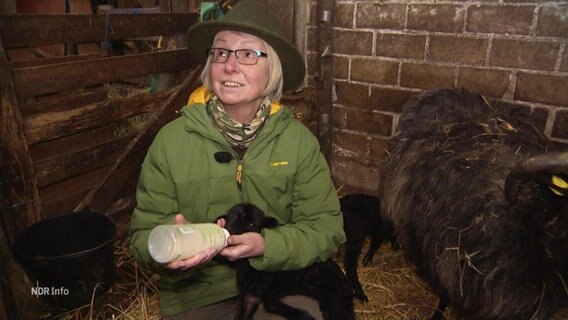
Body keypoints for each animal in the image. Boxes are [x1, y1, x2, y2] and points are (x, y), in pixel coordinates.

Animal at [217, 205, 356, 320]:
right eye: (231, 217)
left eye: (252, 224)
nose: (230, 230)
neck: (247, 265)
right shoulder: (251, 293)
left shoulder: (269, 289)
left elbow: (270, 305)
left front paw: (305, 316)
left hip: (335, 293)